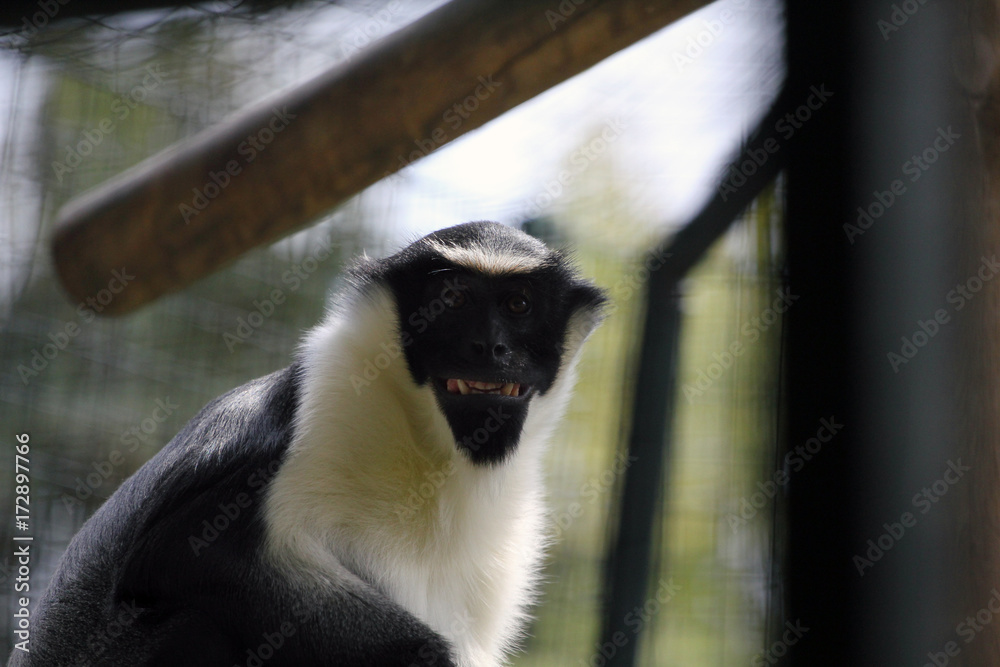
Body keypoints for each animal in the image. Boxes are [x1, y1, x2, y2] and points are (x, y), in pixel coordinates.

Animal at [8, 221, 607, 667]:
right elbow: (188, 549)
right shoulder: (316, 418)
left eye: (519, 305)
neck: (435, 452)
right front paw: (426, 652)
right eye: (453, 297)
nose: (490, 346)